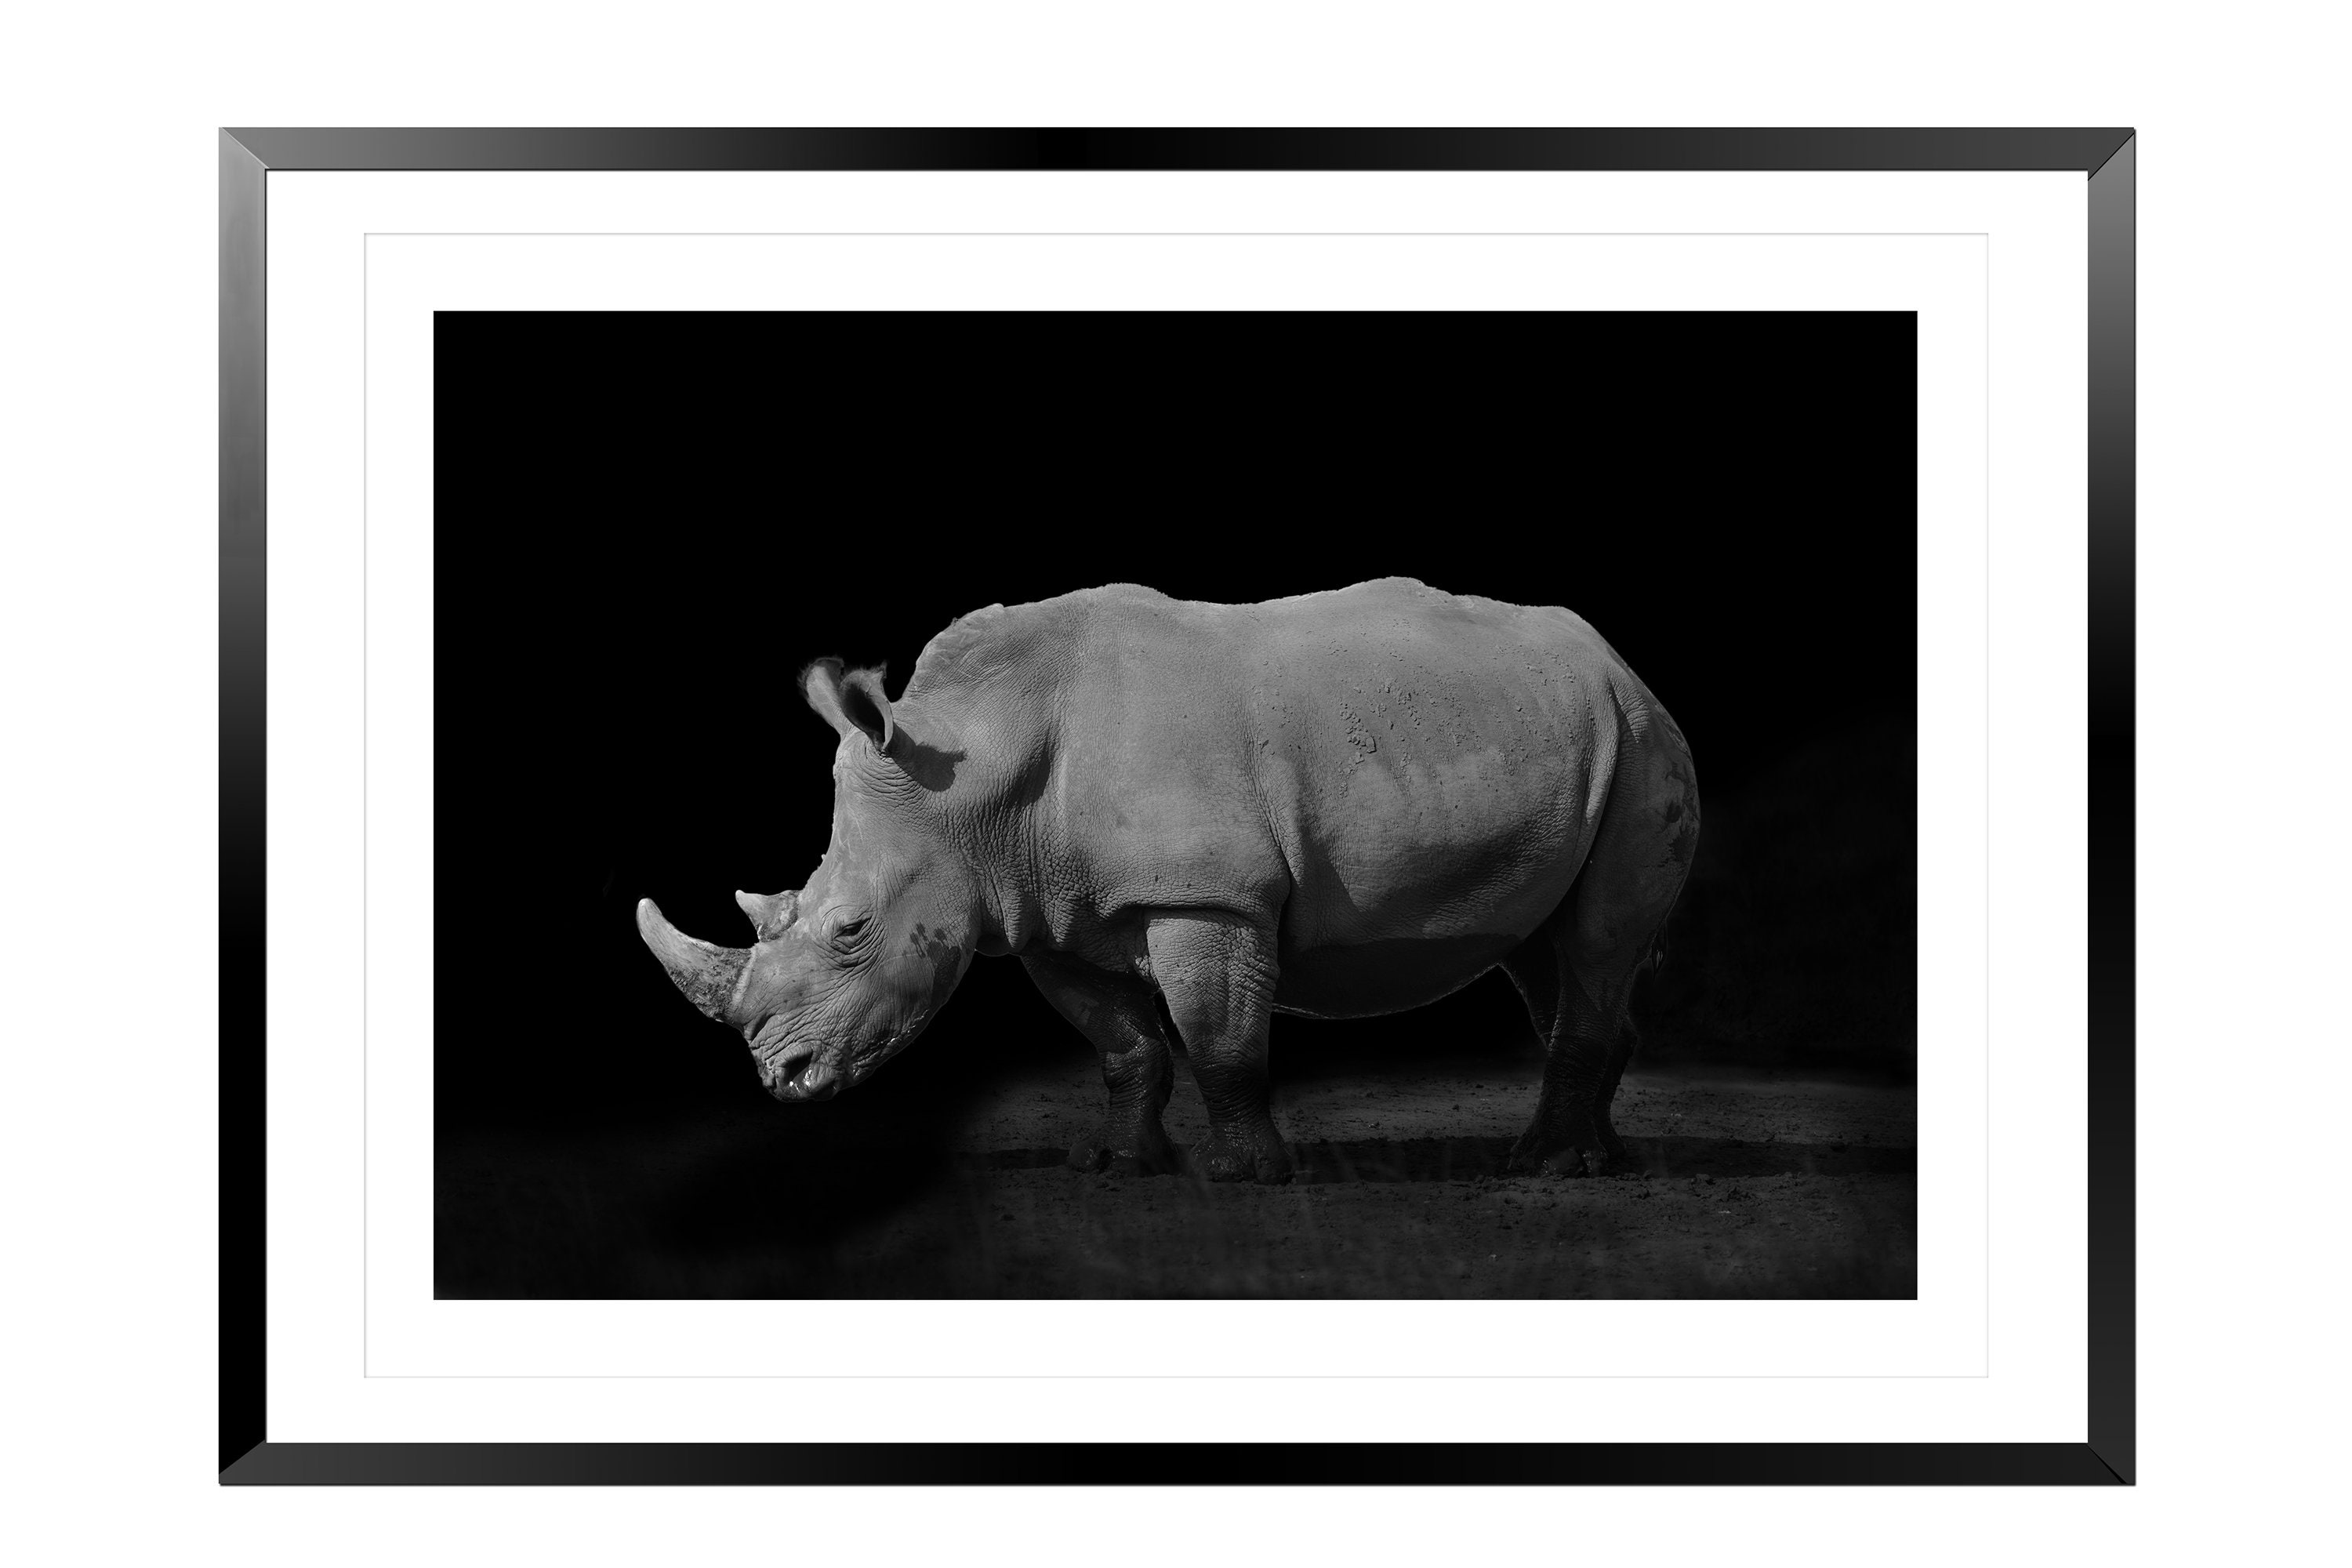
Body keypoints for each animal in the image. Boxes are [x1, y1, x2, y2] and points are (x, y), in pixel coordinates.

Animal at [637, 577, 1698, 1183]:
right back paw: (1601, 1158)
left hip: (1640, 740)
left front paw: (1245, 1177)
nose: (782, 1078)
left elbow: (1218, 1036)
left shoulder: (1206, 894)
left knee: (1595, 942)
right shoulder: (1041, 907)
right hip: (1566, 733)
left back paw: (1551, 1165)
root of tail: (1618, 660)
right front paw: (1116, 1164)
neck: (971, 776)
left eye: (851, 929)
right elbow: (1125, 1046)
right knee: (1547, 952)